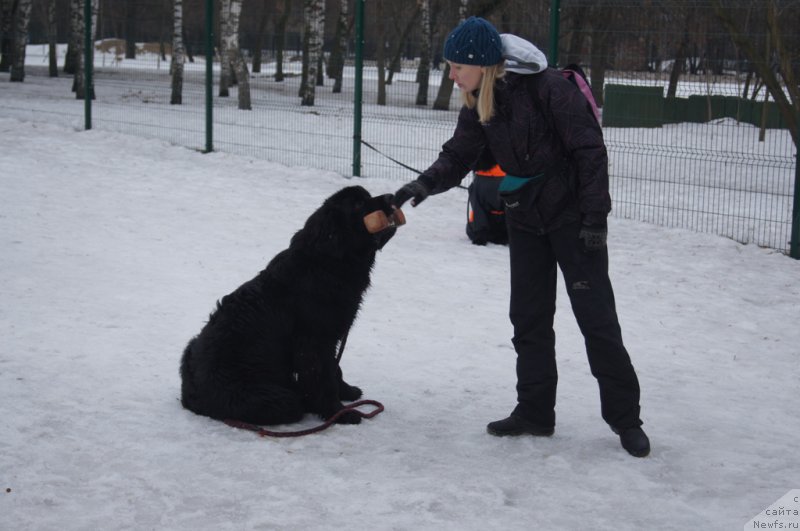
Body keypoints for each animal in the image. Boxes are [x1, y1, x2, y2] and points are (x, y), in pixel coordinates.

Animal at [179, 187, 396, 428]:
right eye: (357, 204)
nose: (391, 197)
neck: (327, 263)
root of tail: (188, 396)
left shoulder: (330, 337)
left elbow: (334, 369)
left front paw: (346, 391)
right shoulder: (314, 341)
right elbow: (324, 377)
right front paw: (338, 413)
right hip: (272, 398)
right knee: (291, 404)